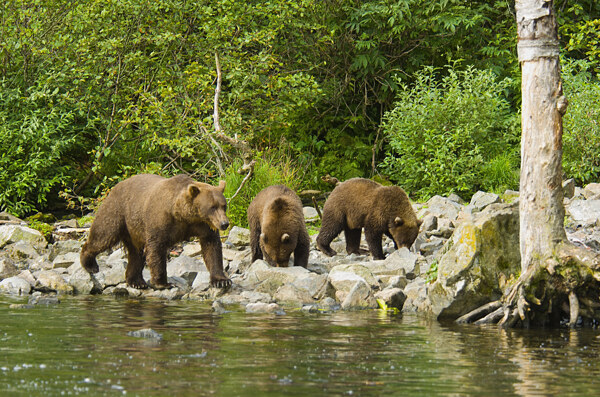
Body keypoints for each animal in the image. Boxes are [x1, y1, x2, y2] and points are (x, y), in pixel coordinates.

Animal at [79, 173, 230, 288]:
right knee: (103, 235)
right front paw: (163, 283)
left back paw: (136, 282)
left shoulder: (203, 225)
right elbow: (156, 249)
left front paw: (221, 281)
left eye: (224, 206)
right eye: (212, 207)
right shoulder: (160, 220)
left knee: (136, 253)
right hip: (117, 211)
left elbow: (212, 247)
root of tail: (116, 186)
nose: (224, 224)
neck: (183, 215)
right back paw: (90, 265)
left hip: (134, 229)